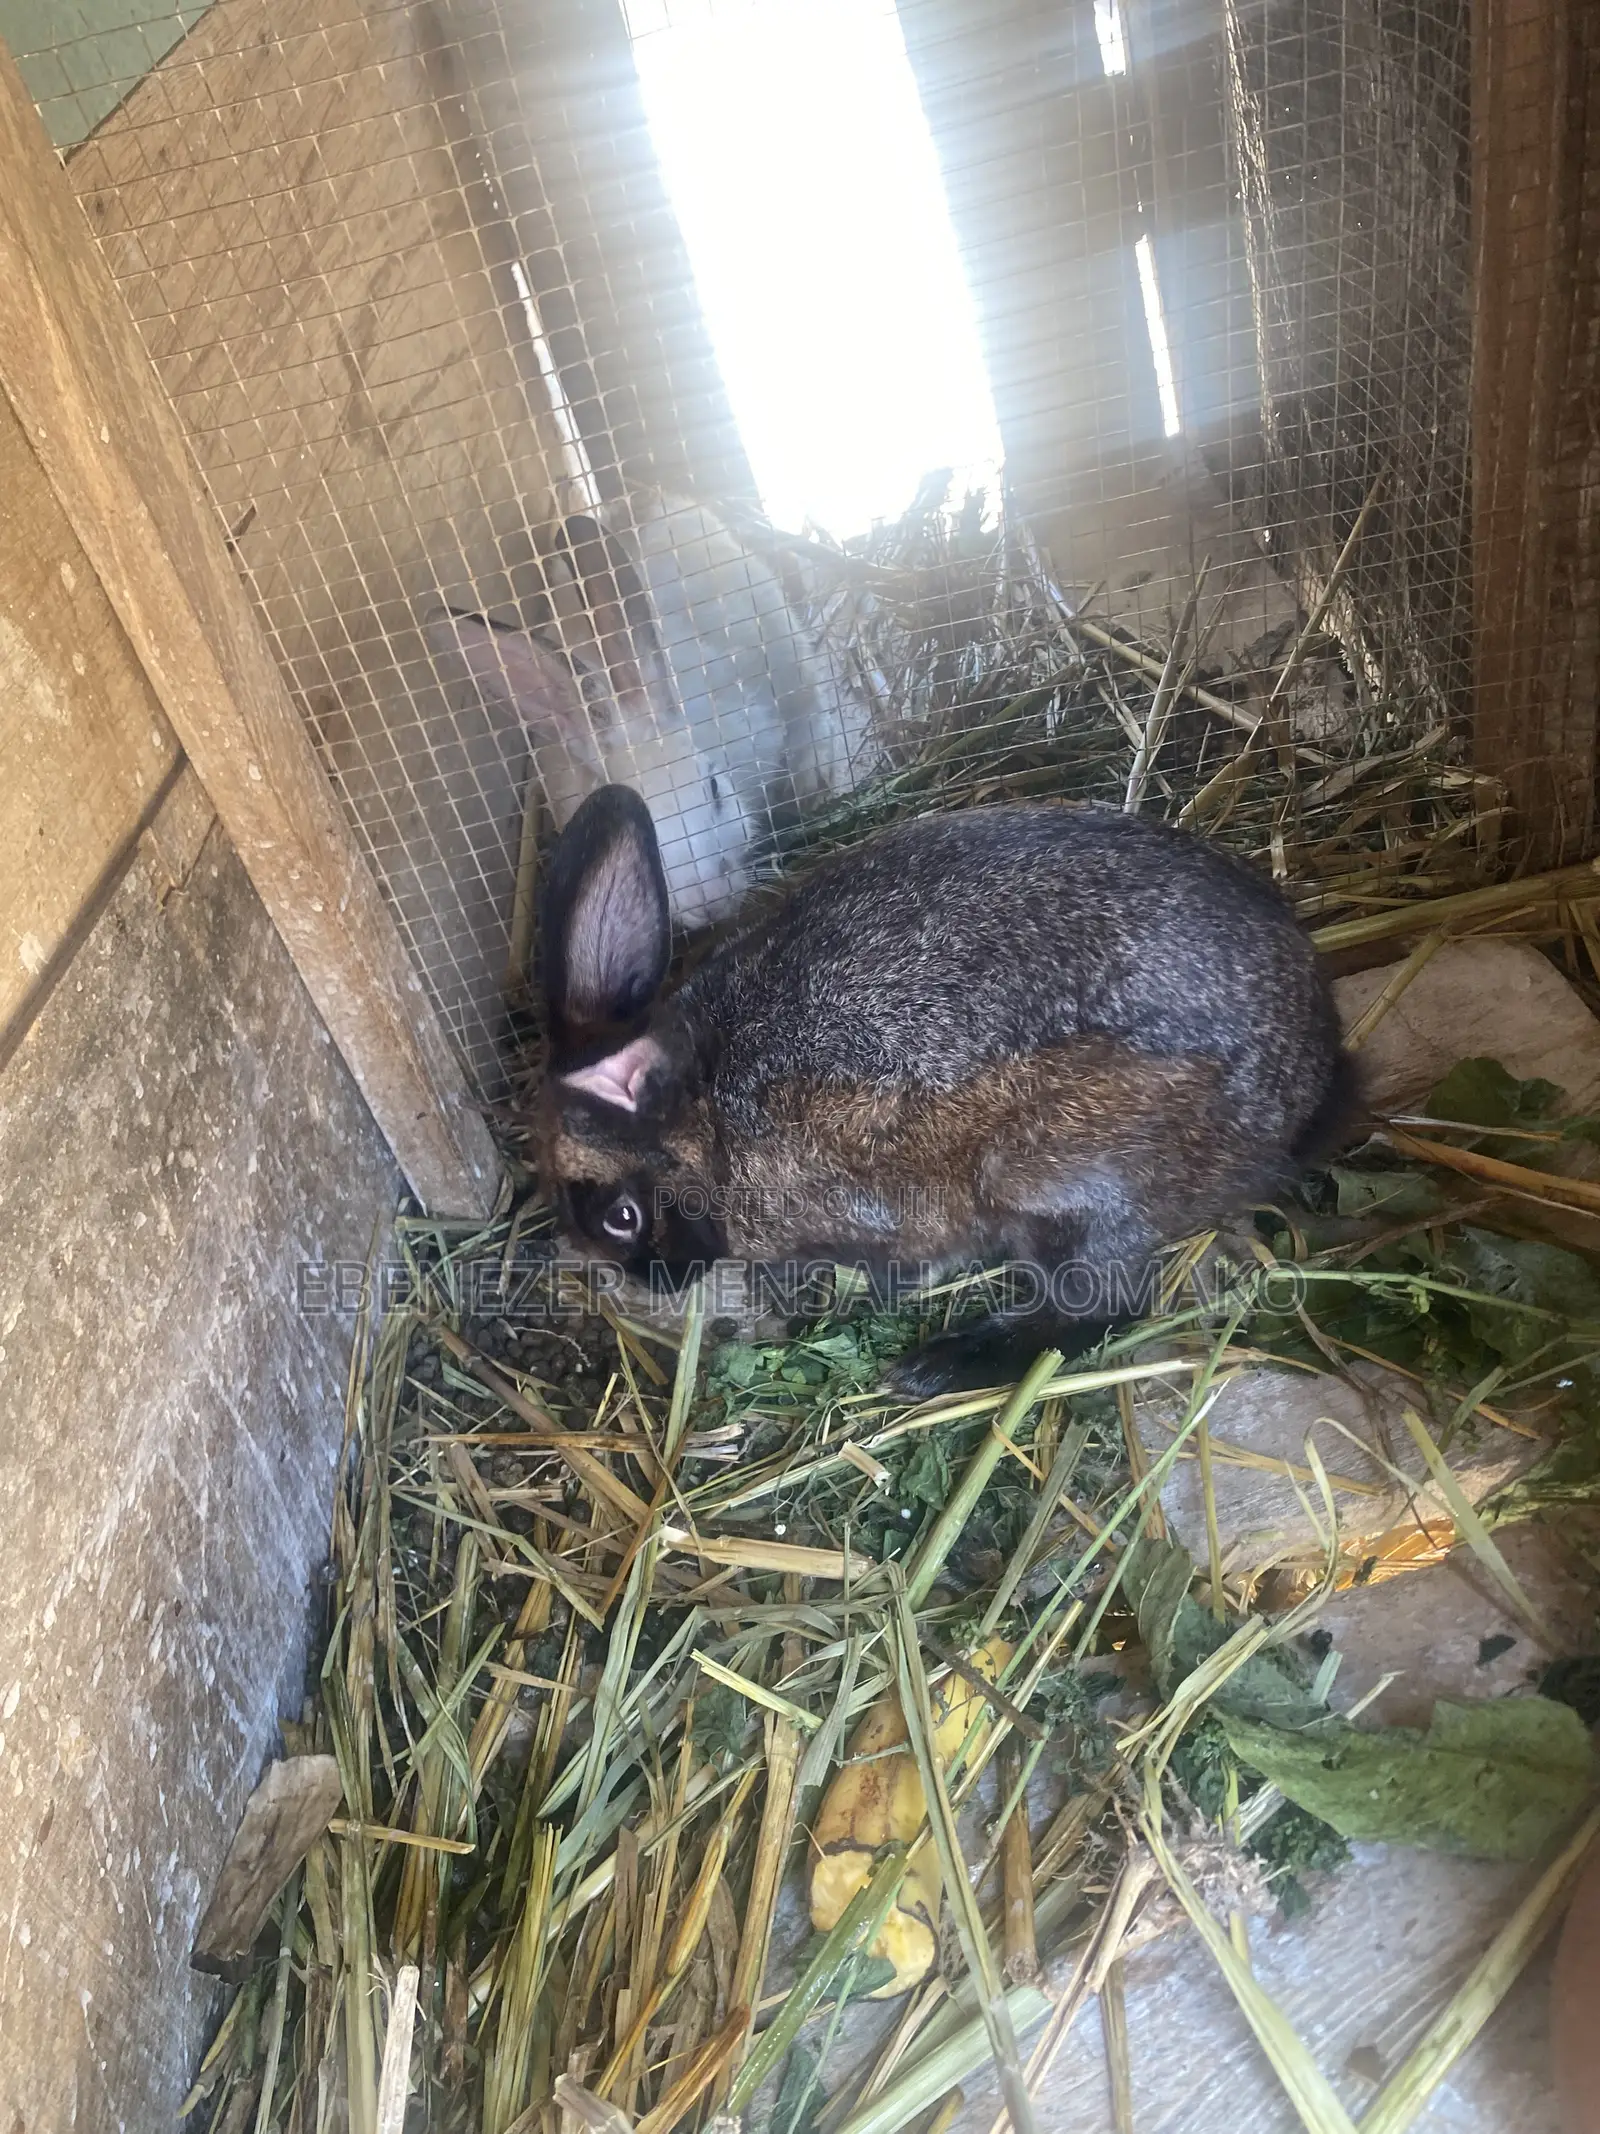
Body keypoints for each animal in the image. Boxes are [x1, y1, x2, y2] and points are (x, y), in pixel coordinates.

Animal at [531, 785, 1361, 1397]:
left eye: (621, 1217)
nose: (657, 1278)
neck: (709, 1121)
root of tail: (1309, 1082)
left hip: (1052, 1172)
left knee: (1104, 1302)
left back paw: (937, 1365)